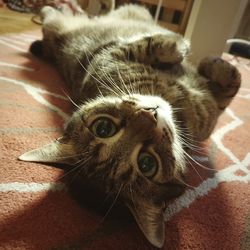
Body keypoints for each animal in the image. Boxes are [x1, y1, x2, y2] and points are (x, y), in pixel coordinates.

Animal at [18, 2, 241, 248]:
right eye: (147, 164)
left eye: (103, 128)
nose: (149, 114)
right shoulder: (109, 57)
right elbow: (142, 46)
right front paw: (179, 47)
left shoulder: (207, 115)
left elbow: (227, 89)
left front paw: (215, 66)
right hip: (61, 25)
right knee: (53, 17)